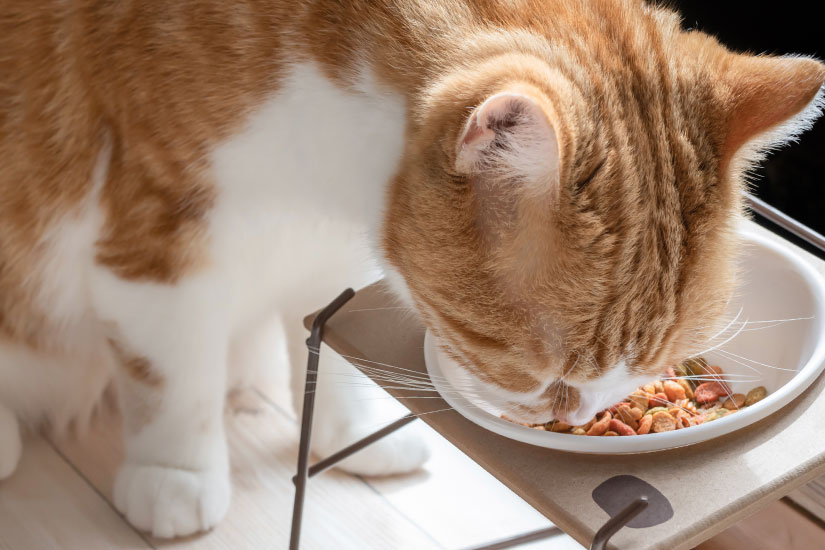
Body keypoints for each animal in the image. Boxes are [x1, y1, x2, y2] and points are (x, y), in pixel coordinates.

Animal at [1, 0, 824, 540]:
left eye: (651, 363)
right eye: (547, 375)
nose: (584, 415)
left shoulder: (328, 241)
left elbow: (324, 344)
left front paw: (352, 434)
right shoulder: (157, 239)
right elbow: (174, 383)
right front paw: (177, 478)